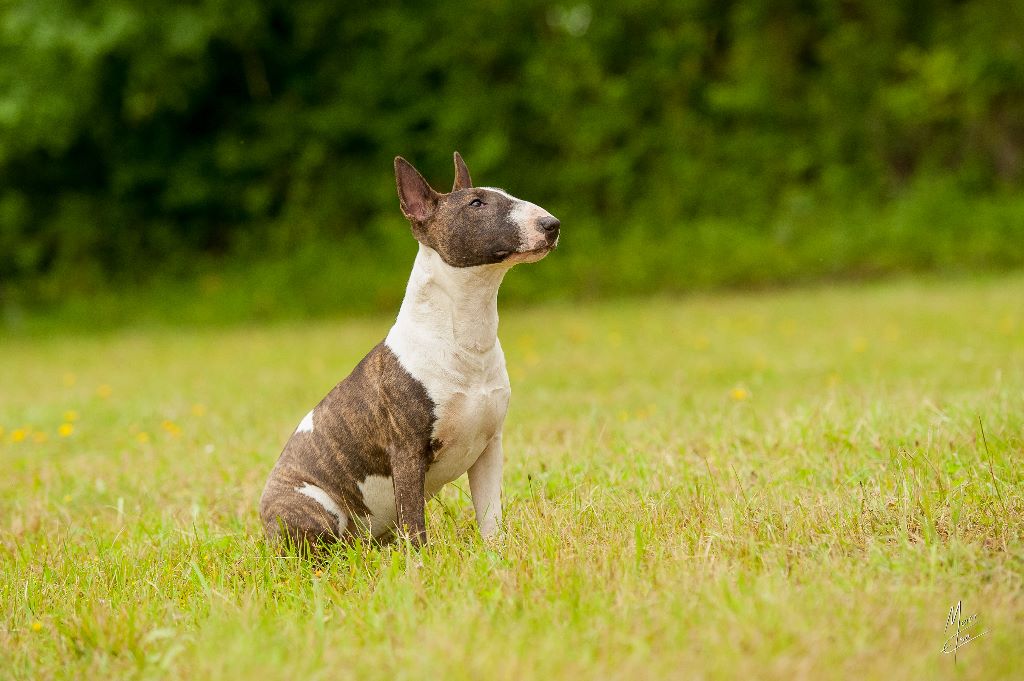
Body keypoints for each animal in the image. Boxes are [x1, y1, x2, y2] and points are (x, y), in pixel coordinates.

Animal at [256, 152, 561, 548]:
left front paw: (497, 552)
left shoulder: (489, 448)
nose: (552, 225)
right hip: (313, 508)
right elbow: (414, 521)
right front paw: (421, 560)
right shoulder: (406, 452)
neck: (465, 338)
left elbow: (490, 515)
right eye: (476, 203)